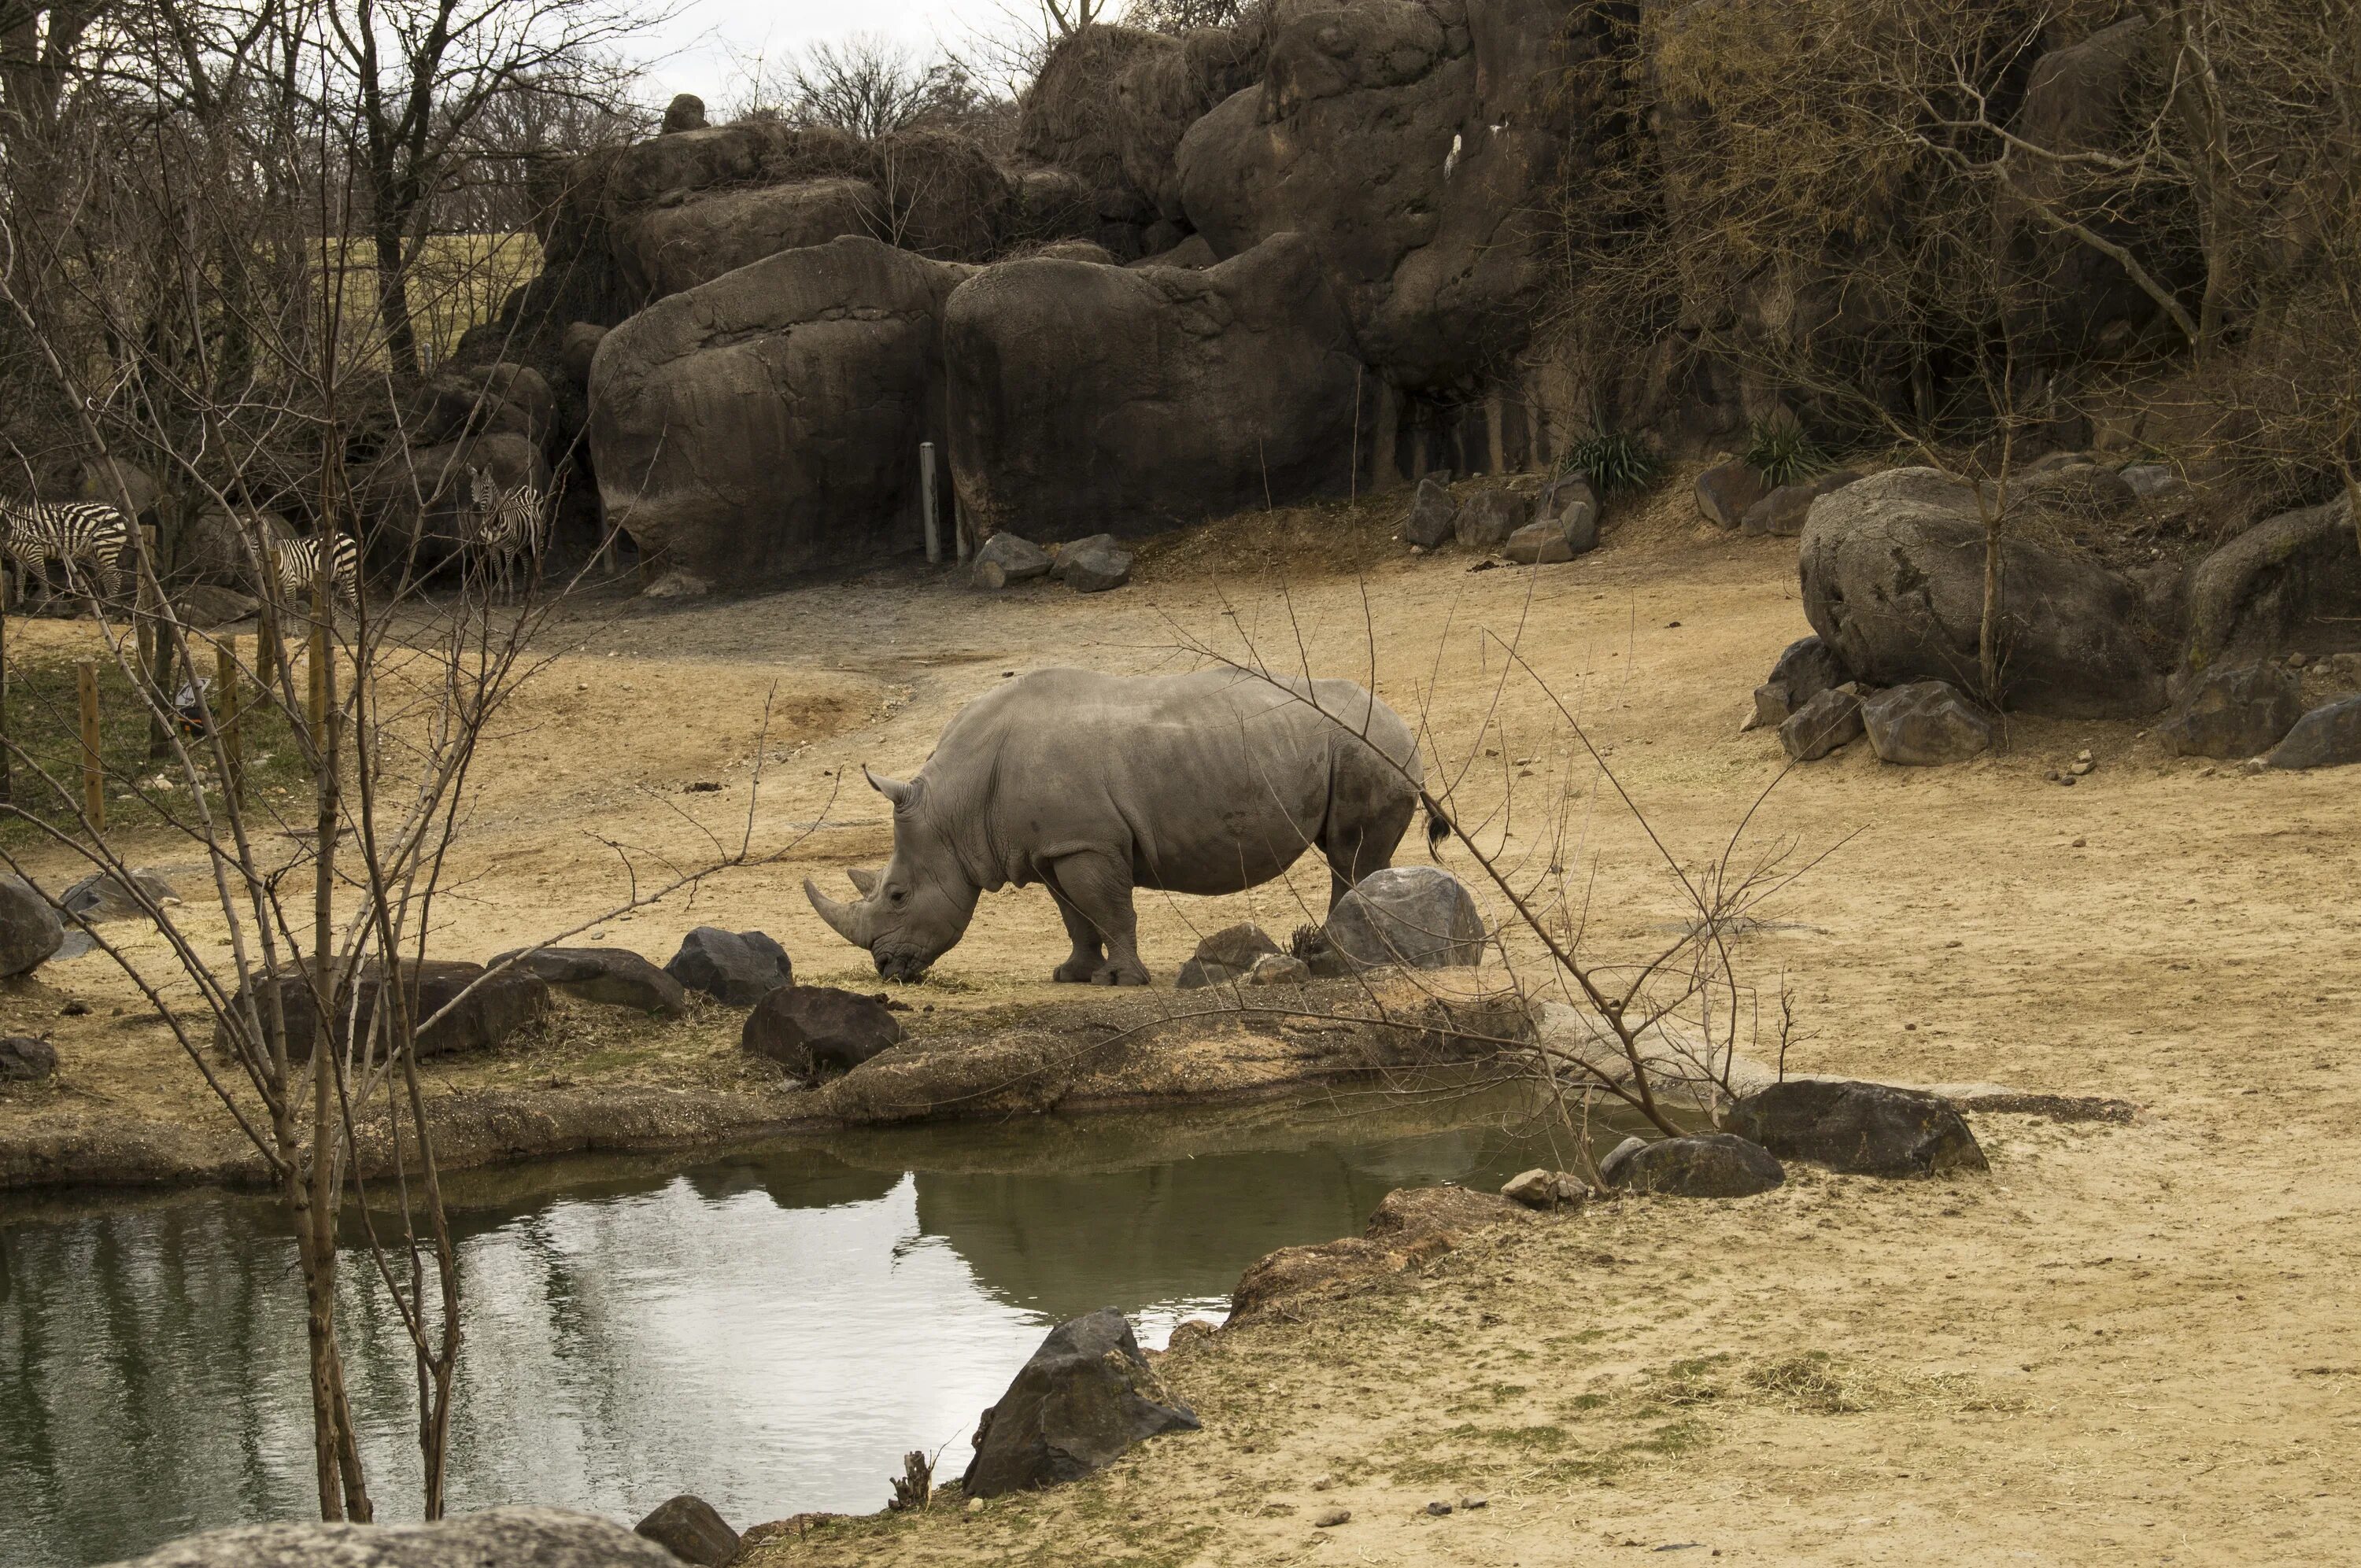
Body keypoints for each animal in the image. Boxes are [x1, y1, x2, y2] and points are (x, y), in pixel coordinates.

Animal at [1, 498, 131, 609]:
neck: (14, 523)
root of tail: (117, 512)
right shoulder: (20, 555)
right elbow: (20, 578)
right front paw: (19, 604)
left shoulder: (35, 550)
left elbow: (43, 579)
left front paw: (47, 605)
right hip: (98, 552)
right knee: (106, 576)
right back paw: (105, 604)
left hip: (106, 546)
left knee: (115, 576)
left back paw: (110, 606)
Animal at [467, 465, 545, 600]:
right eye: (472, 488)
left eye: (486, 488)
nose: (476, 510)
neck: (492, 523)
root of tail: (524, 486)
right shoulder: (493, 548)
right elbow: (499, 572)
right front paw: (501, 598)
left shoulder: (508, 547)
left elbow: (509, 572)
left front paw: (510, 599)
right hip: (521, 542)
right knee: (526, 561)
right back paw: (524, 592)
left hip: (539, 537)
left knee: (538, 561)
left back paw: (538, 591)